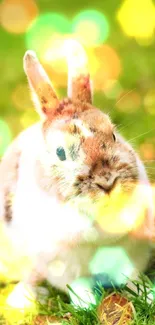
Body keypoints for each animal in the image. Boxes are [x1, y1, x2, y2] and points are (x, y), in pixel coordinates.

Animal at [0, 39, 154, 304]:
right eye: (60, 152)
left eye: (114, 135)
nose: (107, 181)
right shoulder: (64, 258)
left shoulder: (131, 253)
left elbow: (132, 275)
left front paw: (149, 296)